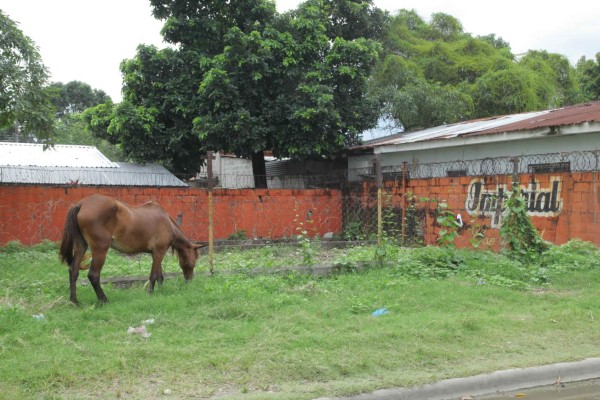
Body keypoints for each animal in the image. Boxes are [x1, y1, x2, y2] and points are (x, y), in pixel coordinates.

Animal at [59, 194, 204, 304]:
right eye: (193, 262)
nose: (189, 281)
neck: (168, 223)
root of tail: (82, 204)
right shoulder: (159, 252)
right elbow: (153, 275)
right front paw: (150, 293)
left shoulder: (156, 253)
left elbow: (160, 275)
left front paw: (161, 291)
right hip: (100, 249)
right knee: (93, 275)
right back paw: (103, 299)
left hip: (81, 246)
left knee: (73, 271)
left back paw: (74, 301)